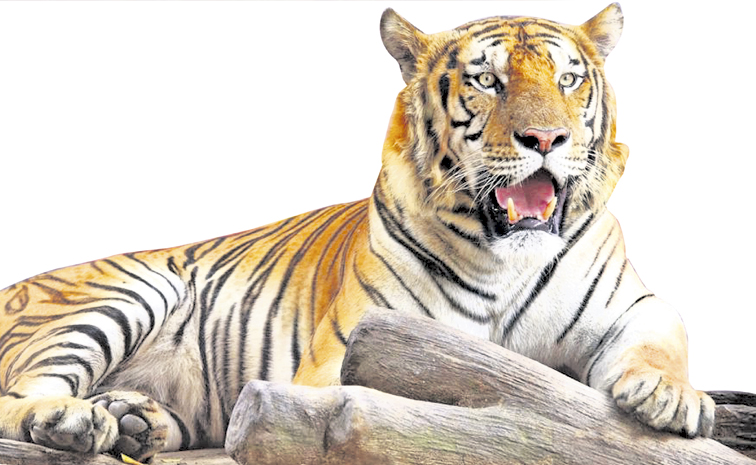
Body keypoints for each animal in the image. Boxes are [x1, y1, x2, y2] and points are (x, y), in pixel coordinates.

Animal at [0, 3, 716, 462]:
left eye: (568, 79)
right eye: (488, 80)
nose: (546, 138)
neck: (506, 257)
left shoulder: (632, 303)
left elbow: (661, 337)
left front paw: (670, 398)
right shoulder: (347, 354)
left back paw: (133, 423)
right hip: (123, 294)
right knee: (18, 394)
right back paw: (72, 420)